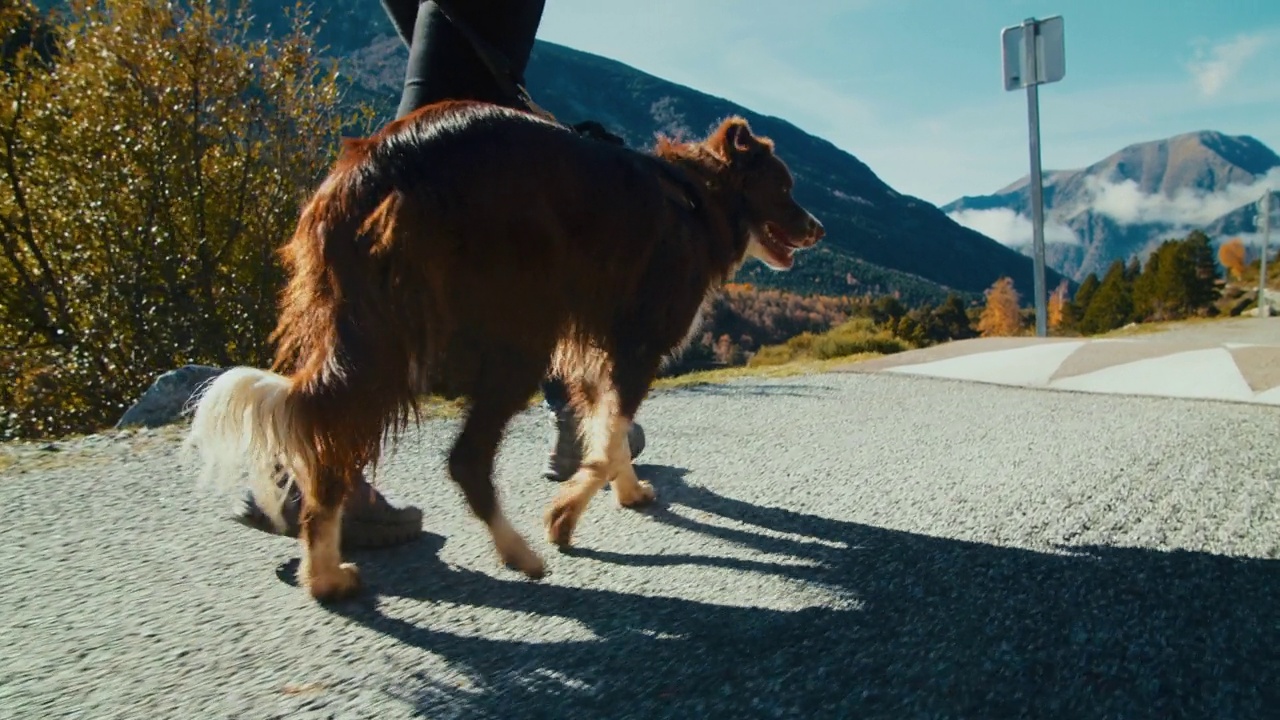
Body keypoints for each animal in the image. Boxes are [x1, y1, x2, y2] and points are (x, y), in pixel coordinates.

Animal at [180, 98, 824, 597]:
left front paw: (628, 492)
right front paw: (565, 517)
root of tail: (384, 162)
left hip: (371, 328)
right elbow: (607, 439)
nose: (819, 229)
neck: (700, 195)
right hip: (512, 332)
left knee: (331, 445)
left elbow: (607, 435)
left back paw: (326, 577)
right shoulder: (635, 343)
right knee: (462, 459)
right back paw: (519, 552)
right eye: (785, 186)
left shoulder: (592, 351)